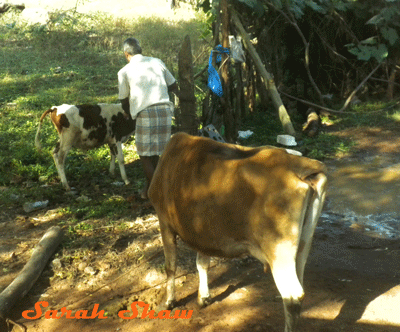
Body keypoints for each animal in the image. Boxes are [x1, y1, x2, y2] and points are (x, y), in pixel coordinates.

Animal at [148, 132, 326, 332]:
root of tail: (302, 164)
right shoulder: (202, 231)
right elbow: (202, 263)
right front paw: (204, 298)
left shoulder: (164, 221)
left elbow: (170, 266)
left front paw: (168, 302)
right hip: (302, 245)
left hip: (279, 250)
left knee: (293, 295)